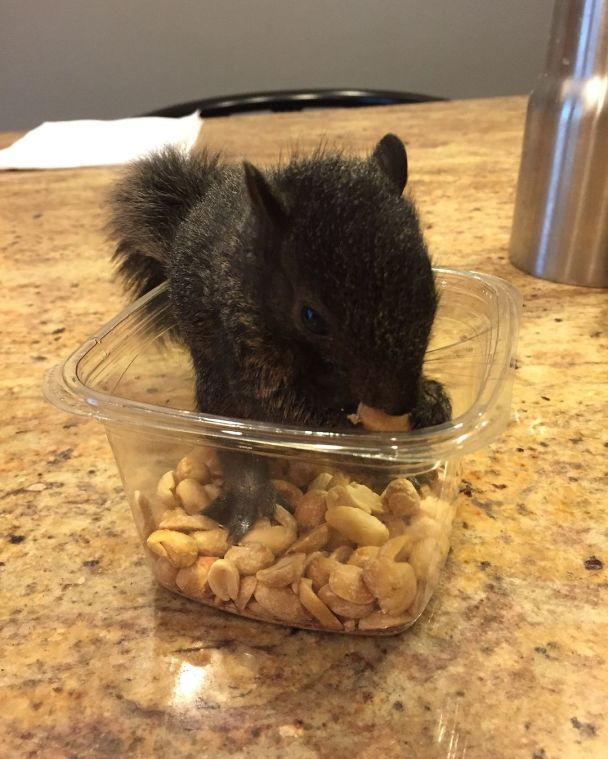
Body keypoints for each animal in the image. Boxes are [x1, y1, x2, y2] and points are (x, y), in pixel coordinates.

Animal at [108, 134, 451, 539]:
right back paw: (249, 498)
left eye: (429, 284)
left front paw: (432, 399)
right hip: (217, 392)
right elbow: (281, 407)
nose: (400, 404)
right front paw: (364, 448)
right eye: (311, 316)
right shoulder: (246, 342)